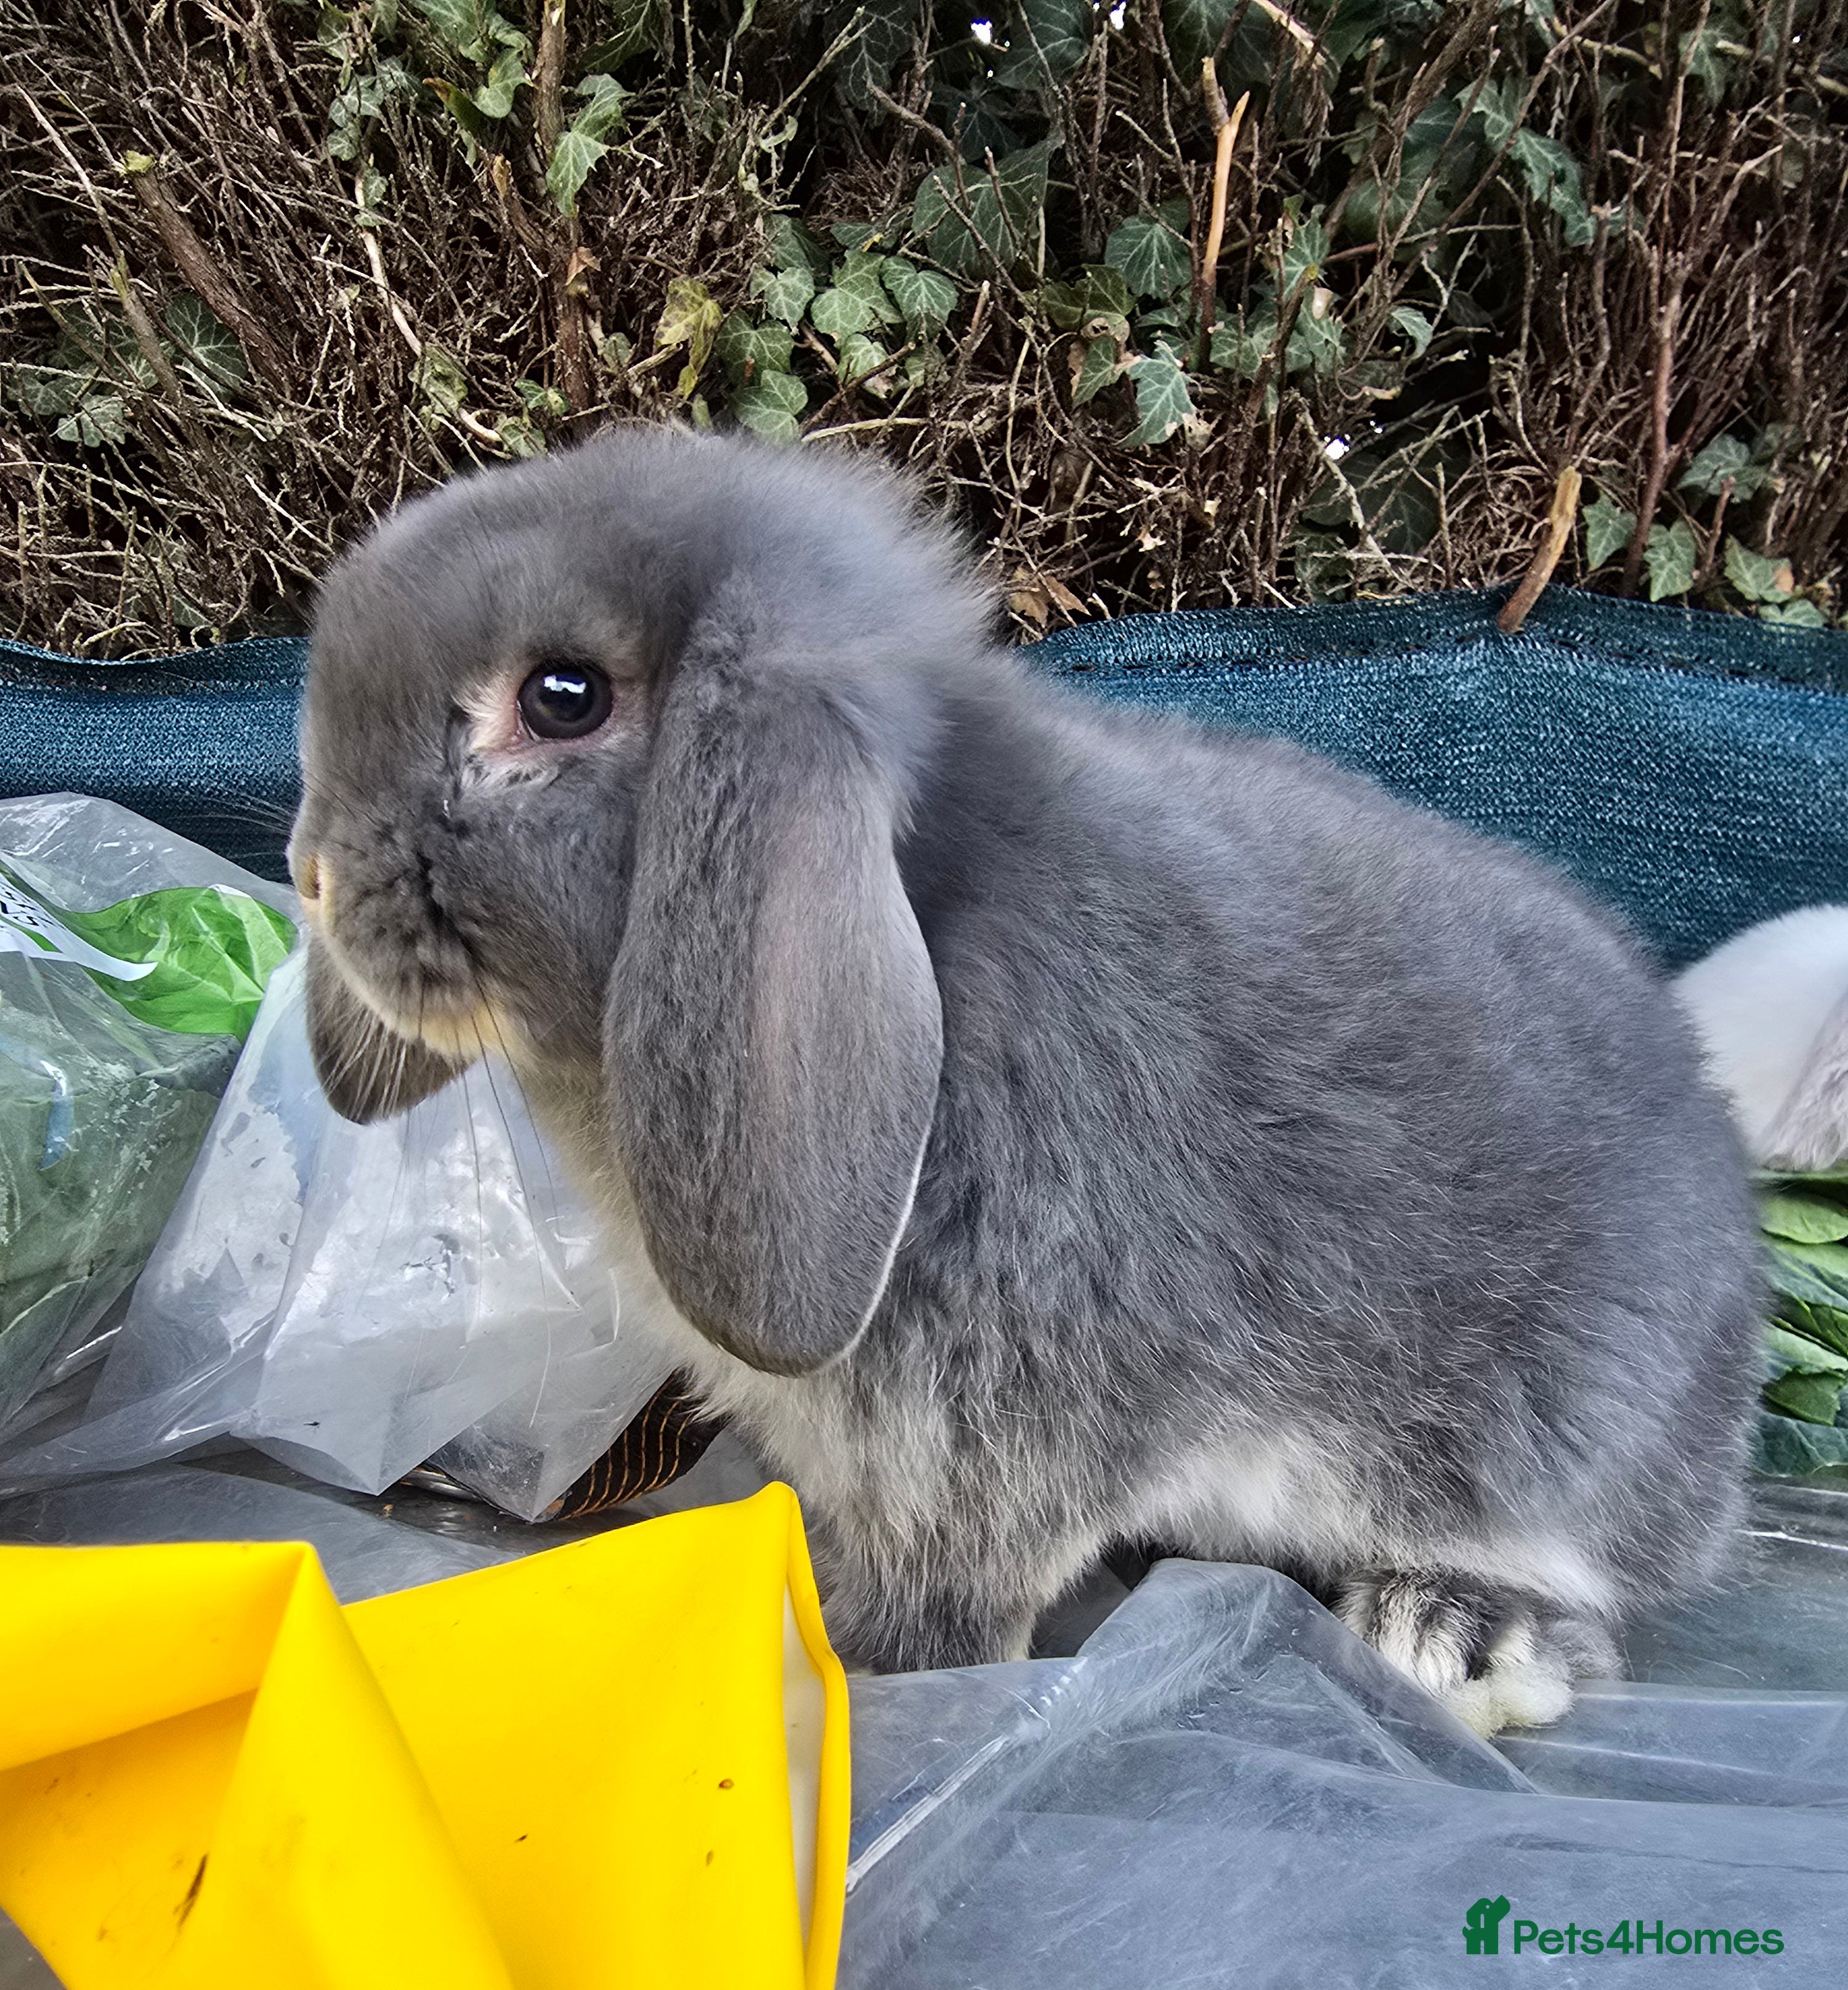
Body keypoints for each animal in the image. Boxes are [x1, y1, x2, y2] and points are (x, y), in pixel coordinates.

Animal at [290, 426, 1763, 1735]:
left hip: (1545, 1450)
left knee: (1586, 1610)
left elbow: (946, 1606)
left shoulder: (984, 1449)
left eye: (563, 697)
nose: (309, 871)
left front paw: (868, 1682)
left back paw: (1449, 1635)